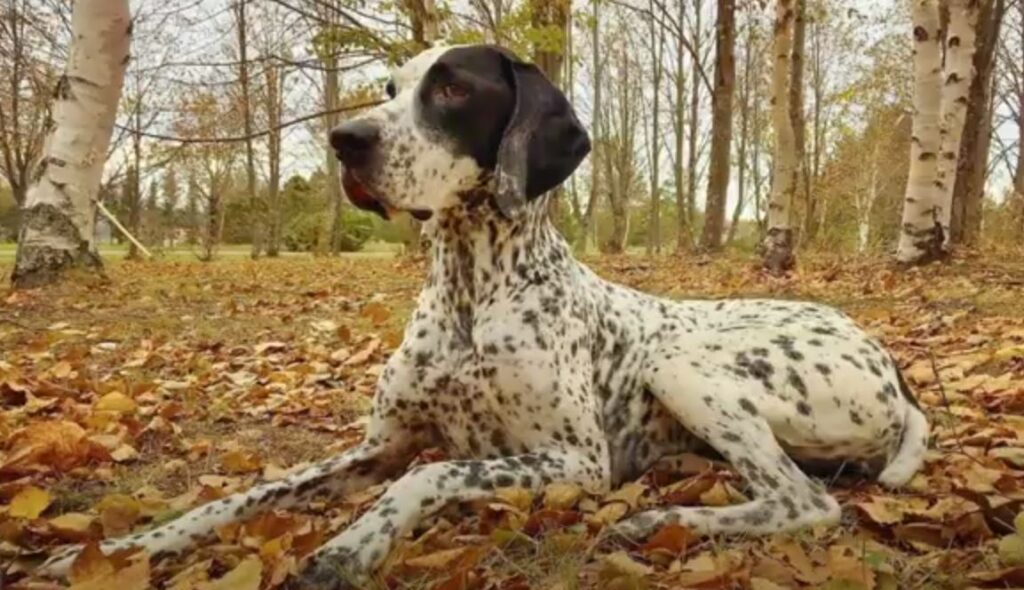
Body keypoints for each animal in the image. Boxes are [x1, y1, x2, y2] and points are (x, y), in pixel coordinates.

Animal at [39, 43, 933, 585]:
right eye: (390, 89)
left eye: (453, 88)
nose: (344, 139)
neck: (473, 286)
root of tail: (893, 366)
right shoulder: (379, 445)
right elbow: (248, 494)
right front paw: (124, 547)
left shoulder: (574, 459)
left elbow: (431, 474)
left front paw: (349, 543)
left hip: (682, 365)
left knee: (805, 501)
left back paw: (662, 518)